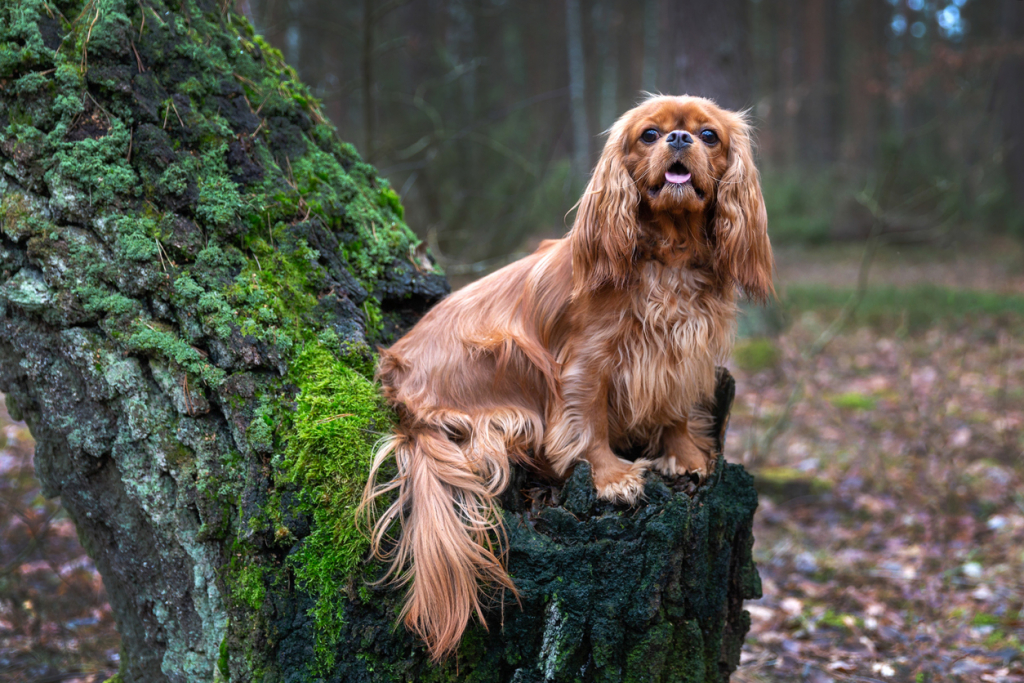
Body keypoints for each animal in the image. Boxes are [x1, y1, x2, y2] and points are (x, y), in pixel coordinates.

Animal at [358, 93, 770, 659]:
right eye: (648, 135)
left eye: (709, 136)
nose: (679, 139)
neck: (669, 258)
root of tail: (400, 393)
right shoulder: (586, 362)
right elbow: (586, 423)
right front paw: (612, 477)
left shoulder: (684, 354)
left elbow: (677, 410)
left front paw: (685, 456)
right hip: (507, 349)